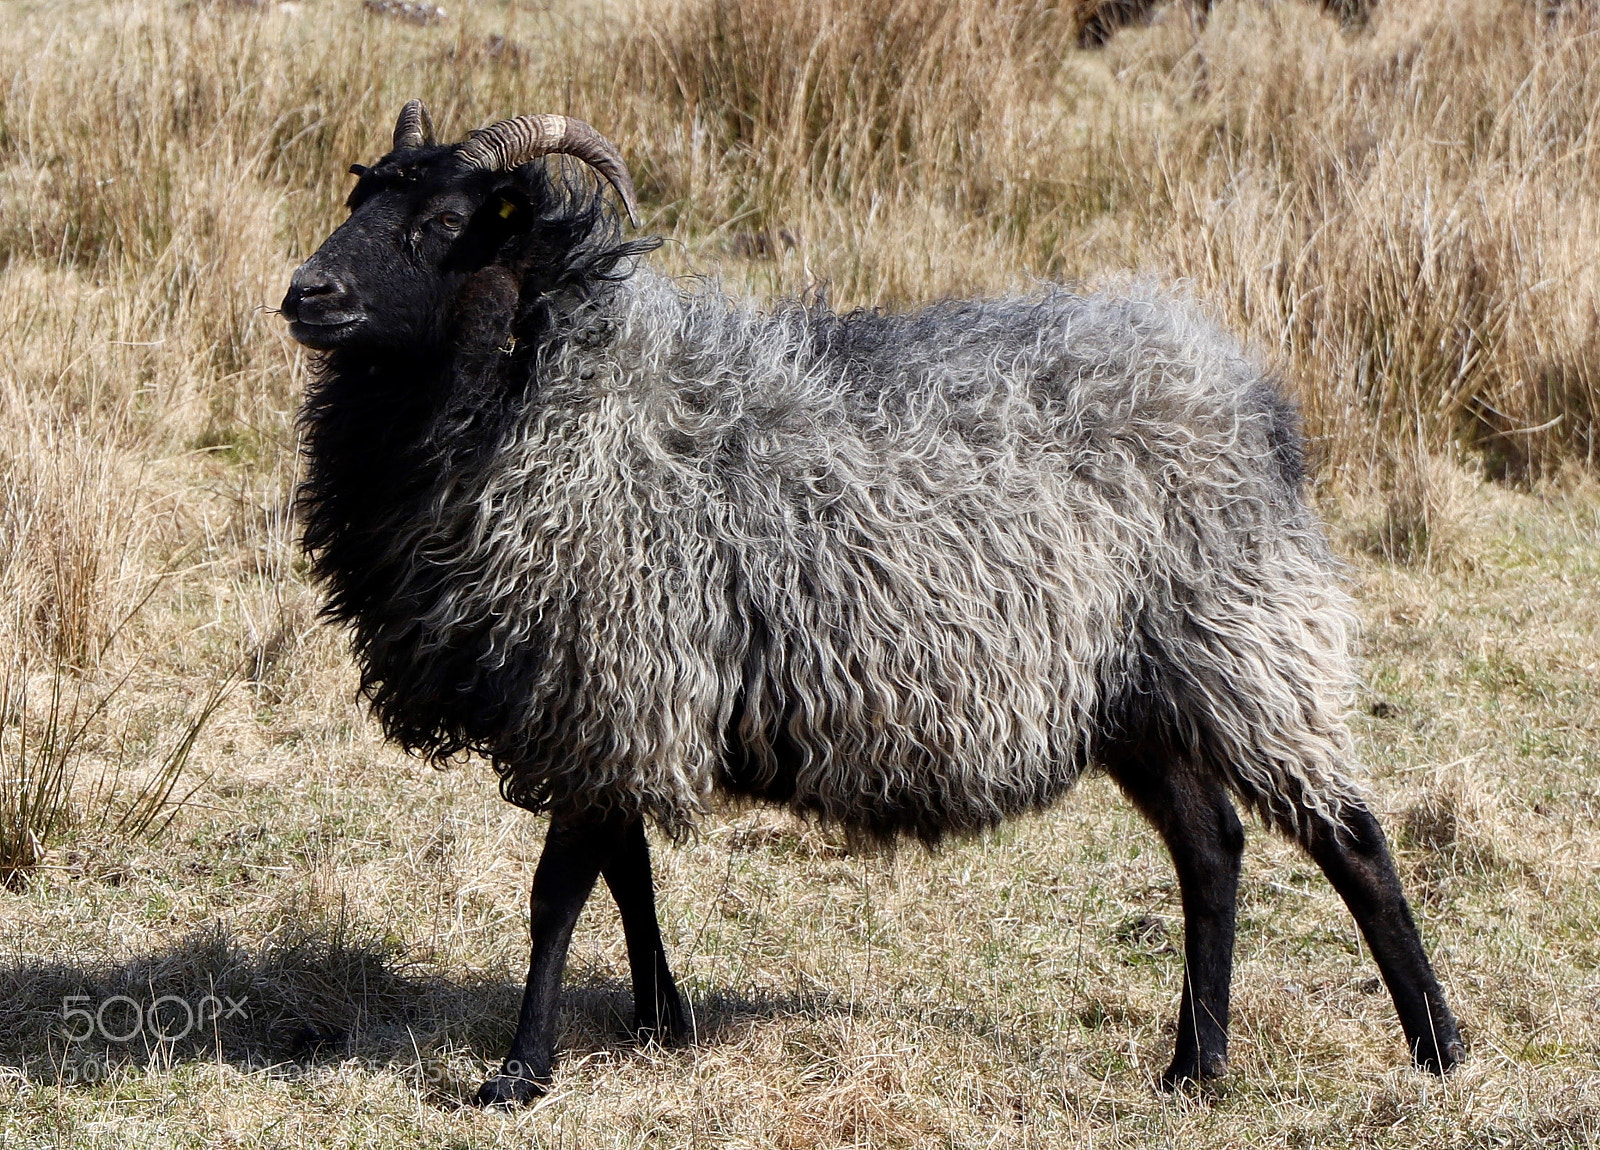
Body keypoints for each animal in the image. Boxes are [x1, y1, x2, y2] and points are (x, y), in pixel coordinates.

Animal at [280, 101, 1466, 1107]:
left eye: (445, 222)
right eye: (357, 199)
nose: (305, 296)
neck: (560, 387)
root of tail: (1249, 393)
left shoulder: (611, 673)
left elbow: (558, 892)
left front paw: (522, 1073)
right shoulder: (613, 698)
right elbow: (626, 874)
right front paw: (662, 1018)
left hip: (1244, 646)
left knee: (1352, 839)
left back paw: (1437, 1045)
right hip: (1135, 691)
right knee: (1211, 849)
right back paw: (1195, 1068)